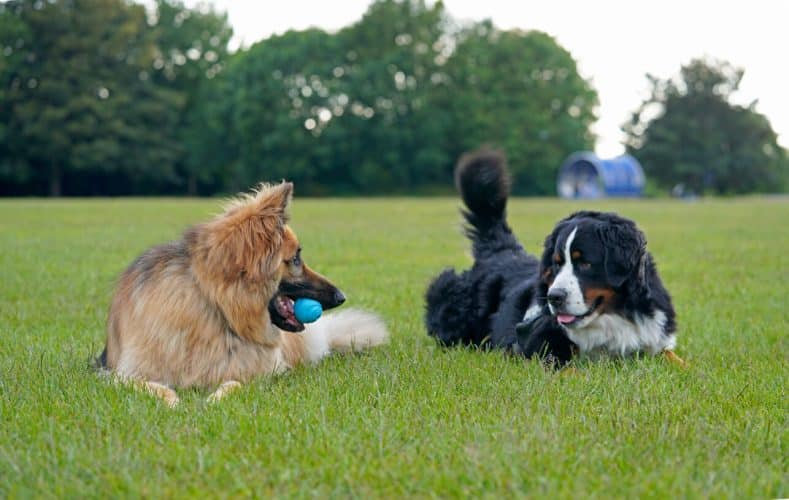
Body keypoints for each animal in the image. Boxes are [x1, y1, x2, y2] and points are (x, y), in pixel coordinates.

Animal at [98, 182, 388, 404]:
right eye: (295, 259)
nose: (341, 296)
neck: (216, 306)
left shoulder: (261, 372)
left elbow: (234, 383)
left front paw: (214, 399)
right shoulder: (120, 374)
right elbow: (152, 386)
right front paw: (173, 402)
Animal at [424, 149, 684, 368]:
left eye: (585, 263)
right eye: (557, 264)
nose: (554, 297)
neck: (615, 316)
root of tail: (501, 251)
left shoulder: (653, 338)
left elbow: (675, 358)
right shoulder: (533, 341)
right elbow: (569, 368)